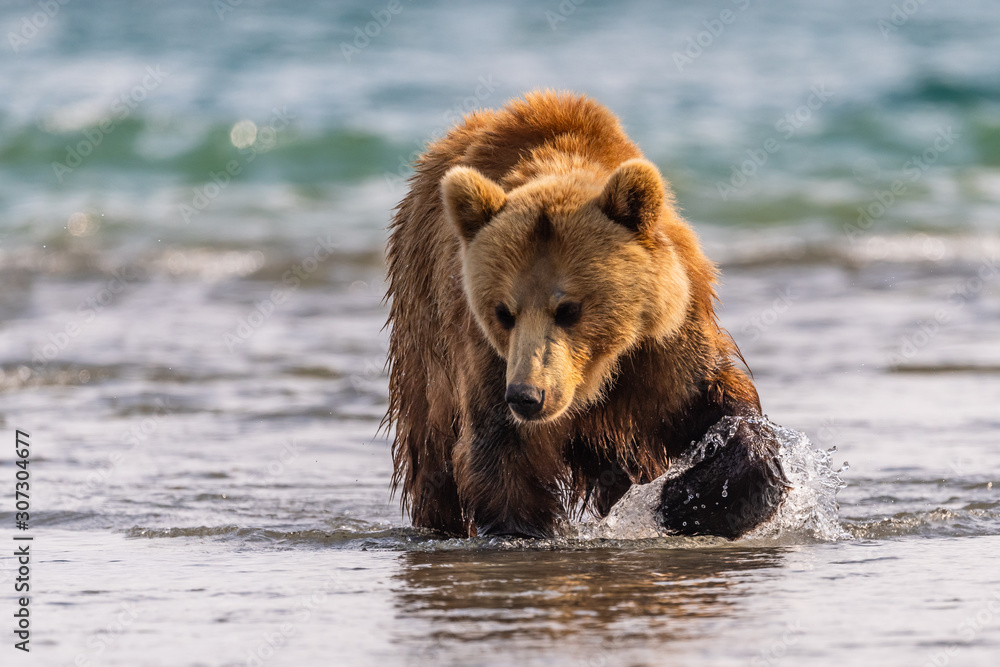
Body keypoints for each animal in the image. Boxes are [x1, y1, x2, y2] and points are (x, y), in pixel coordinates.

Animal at [384, 90, 789, 539]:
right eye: (503, 312)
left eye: (569, 309)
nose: (527, 396)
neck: (597, 371)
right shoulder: (487, 356)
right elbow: (500, 454)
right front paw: (524, 530)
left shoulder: (664, 342)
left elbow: (716, 402)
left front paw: (684, 500)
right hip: (423, 341)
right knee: (431, 455)